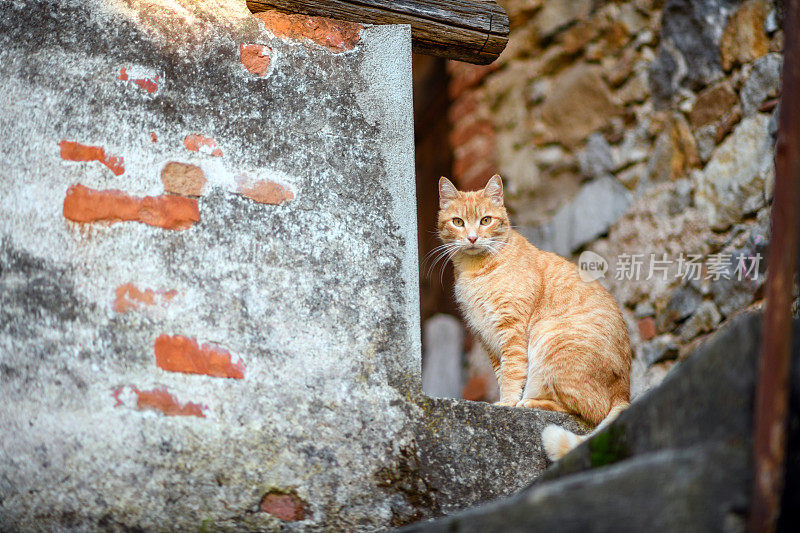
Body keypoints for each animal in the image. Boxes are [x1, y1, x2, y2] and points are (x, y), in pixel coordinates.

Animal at [438, 174, 632, 458]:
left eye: (485, 220)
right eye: (458, 222)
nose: (472, 238)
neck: (475, 270)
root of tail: (625, 392)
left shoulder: (512, 330)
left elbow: (512, 373)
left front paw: (507, 403)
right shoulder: (489, 341)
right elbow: (502, 374)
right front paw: (505, 399)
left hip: (549, 340)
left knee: (588, 409)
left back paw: (530, 402)